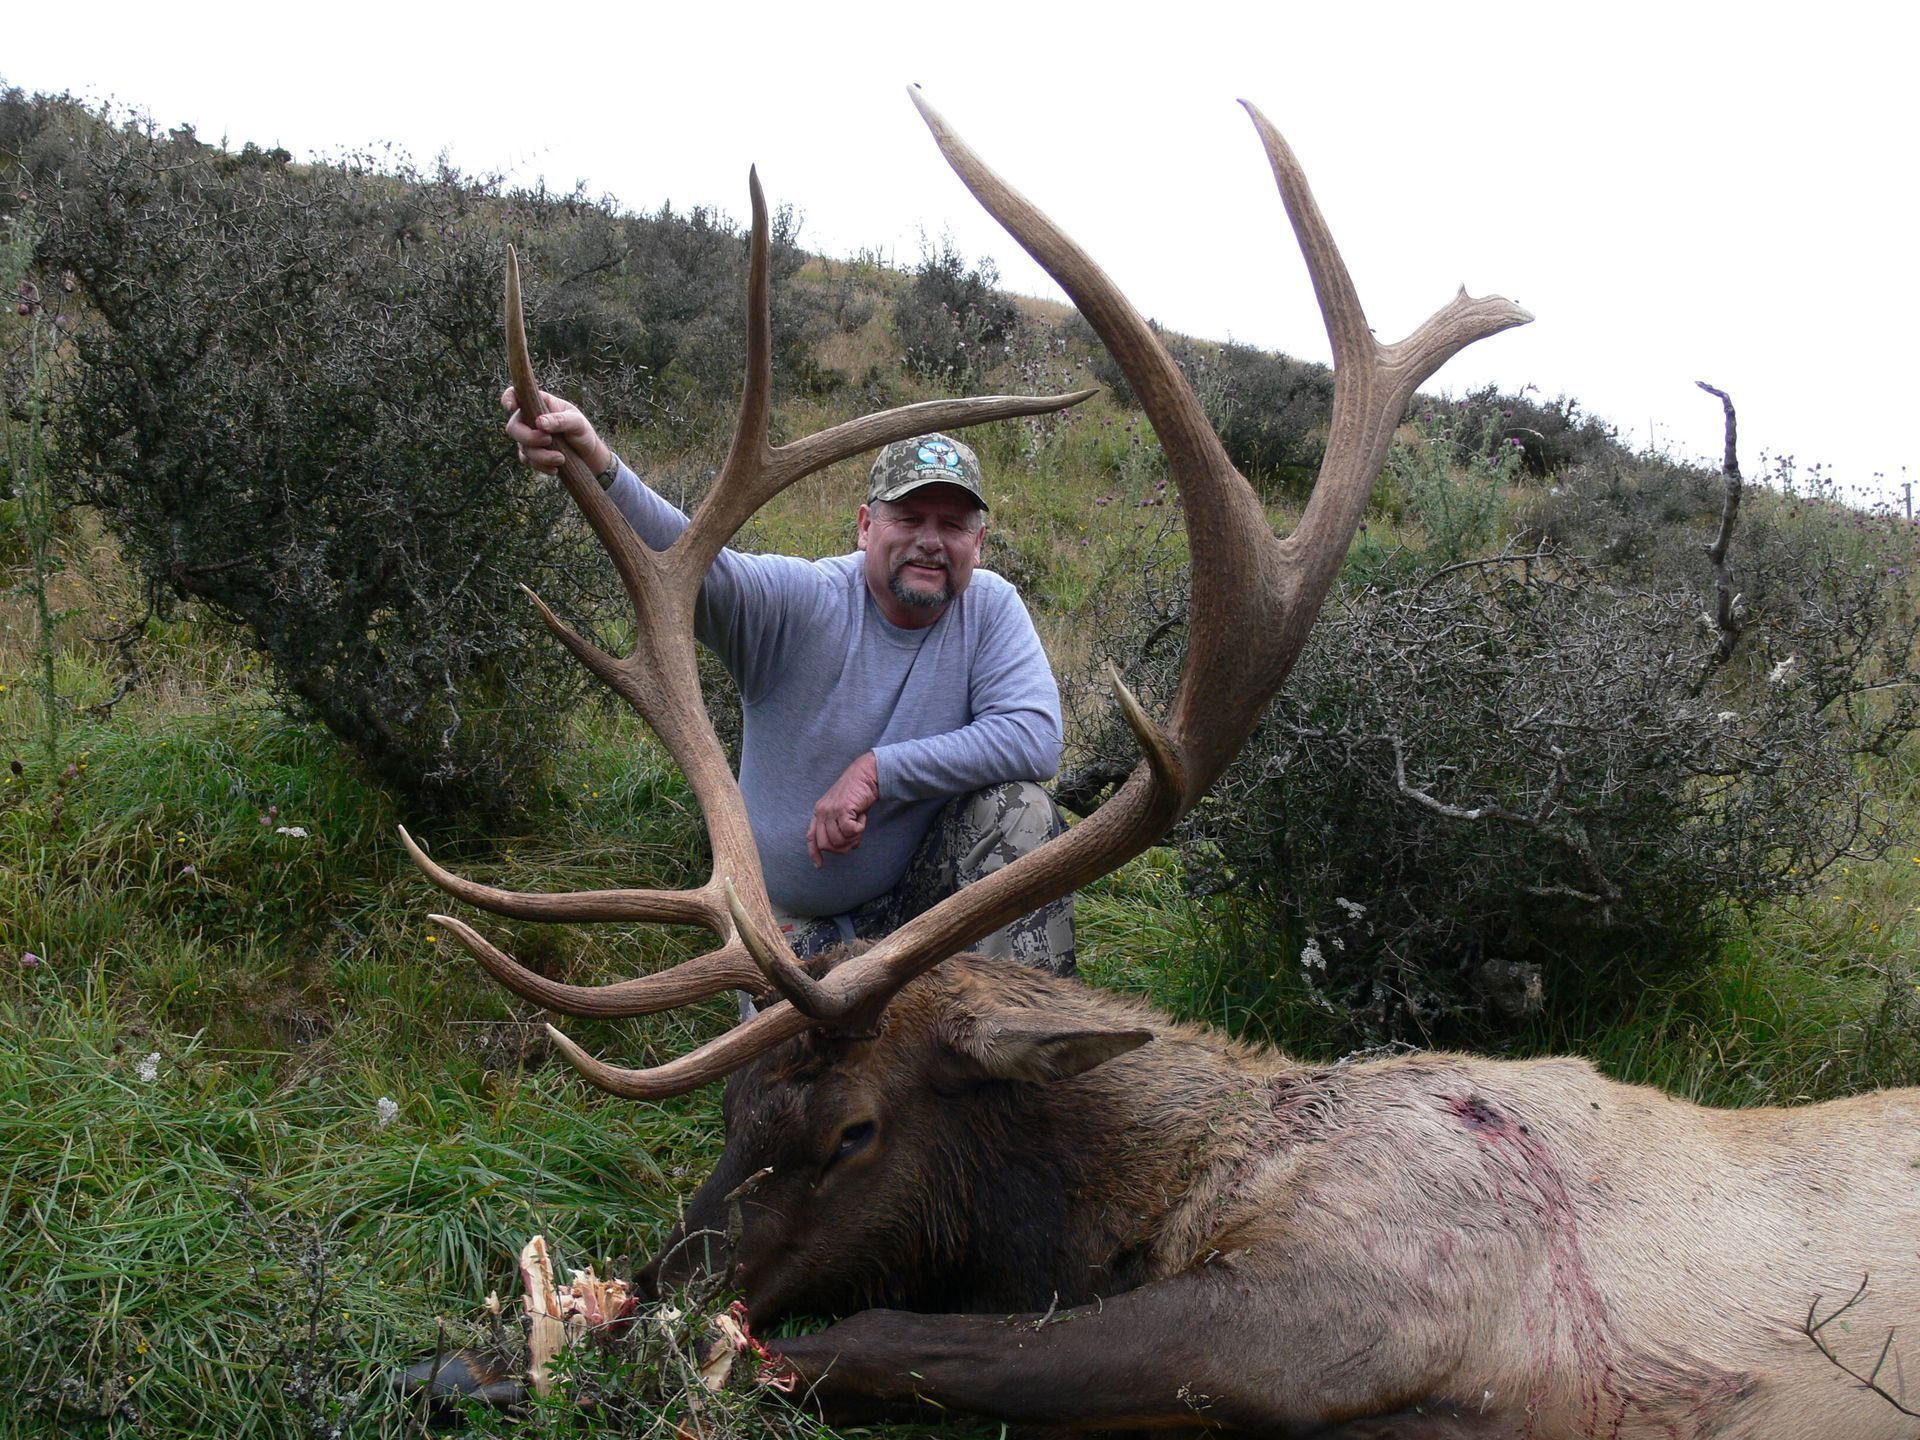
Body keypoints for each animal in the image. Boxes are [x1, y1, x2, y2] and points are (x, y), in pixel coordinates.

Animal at [400, 91, 1920, 1438]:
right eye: (731, 1105)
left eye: (853, 1135)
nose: (655, 1291)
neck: (1185, 1185)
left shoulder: (1359, 1295)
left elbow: (887, 1339)